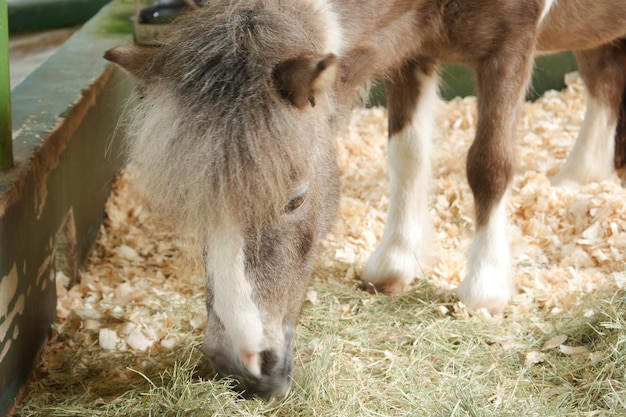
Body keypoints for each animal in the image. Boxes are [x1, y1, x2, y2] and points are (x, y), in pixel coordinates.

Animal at [105, 0, 624, 396]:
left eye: (295, 199)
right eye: (195, 204)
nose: (240, 365)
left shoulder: (511, 41)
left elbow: (489, 163)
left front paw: (485, 286)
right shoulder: (410, 47)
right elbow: (407, 154)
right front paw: (396, 261)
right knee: (603, 77)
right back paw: (579, 178)